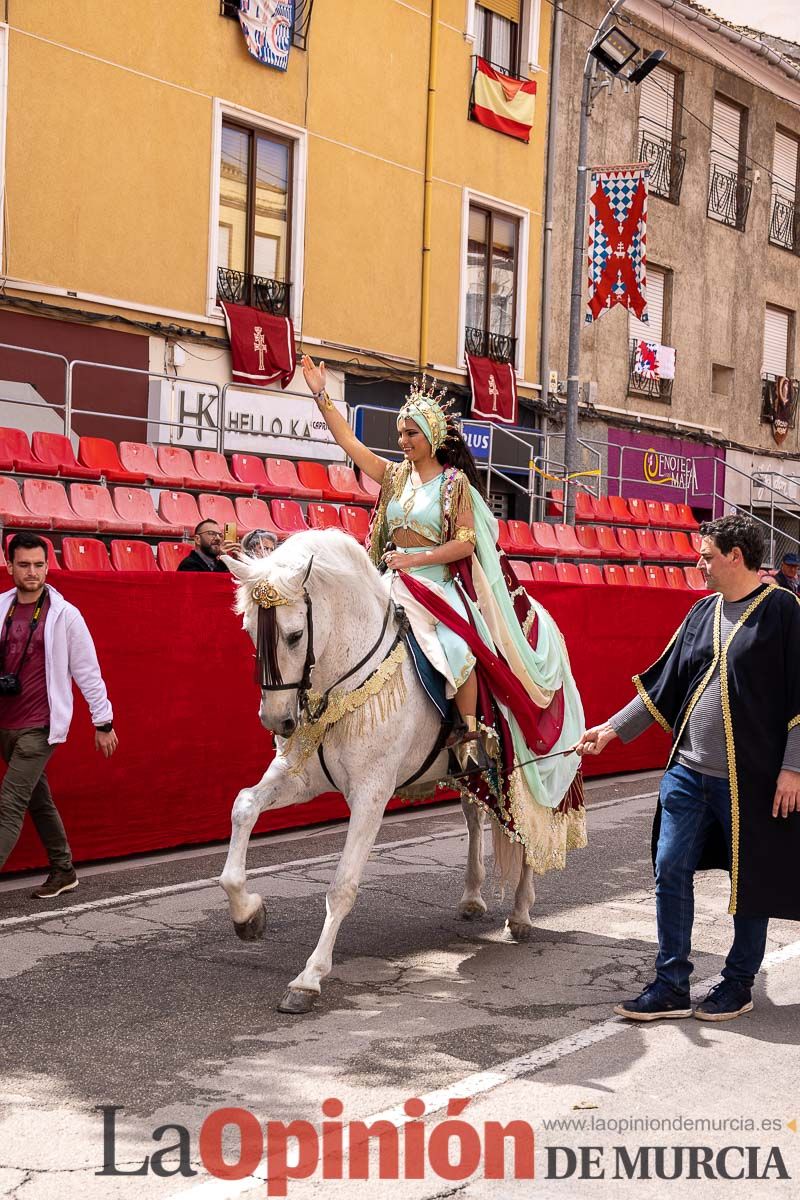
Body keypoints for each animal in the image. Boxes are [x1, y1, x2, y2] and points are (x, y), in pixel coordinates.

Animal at [217, 535, 537, 1012]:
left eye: (294, 636)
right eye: (251, 632)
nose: (277, 722)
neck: (343, 682)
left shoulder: (371, 792)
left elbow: (342, 884)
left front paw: (308, 979)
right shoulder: (299, 776)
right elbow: (244, 806)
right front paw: (248, 914)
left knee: (533, 833)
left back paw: (521, 913)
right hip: (471, 776)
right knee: (474, 818)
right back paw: (472, 897)